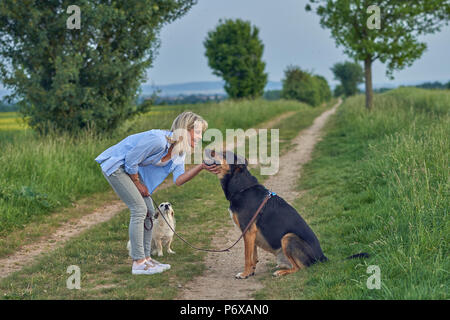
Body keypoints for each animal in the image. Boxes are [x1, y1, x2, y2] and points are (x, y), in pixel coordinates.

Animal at [206, 150, 368, 278]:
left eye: (224, 154)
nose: (209, 149)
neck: (242, 187)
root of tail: (322, 258)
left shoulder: (248, 230)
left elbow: (247, 256)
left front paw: (245, 274)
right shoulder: (250, 233)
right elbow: (253, 255)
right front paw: (251, 271)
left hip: (288, 237)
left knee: (300, 268)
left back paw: (281, 272)